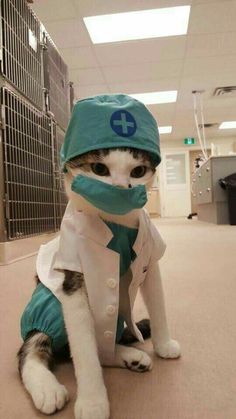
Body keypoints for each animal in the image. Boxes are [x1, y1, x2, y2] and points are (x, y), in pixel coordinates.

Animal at [18, 148, 181, 419]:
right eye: (99, 169)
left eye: (138, 171)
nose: (121, 189)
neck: (117, 224)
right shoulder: (72, 278)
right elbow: (84, 351)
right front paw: (93, 402)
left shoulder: (150, 257)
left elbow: (158, 304)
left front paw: (164, 344)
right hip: (48, 308)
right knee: (33, 350)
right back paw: (47, 388)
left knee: (103, 347)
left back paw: (130, 357)